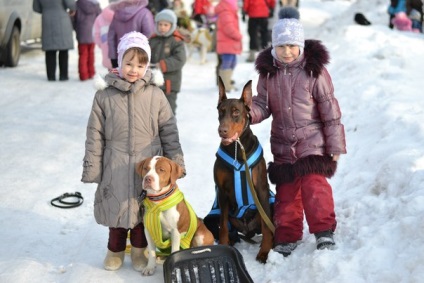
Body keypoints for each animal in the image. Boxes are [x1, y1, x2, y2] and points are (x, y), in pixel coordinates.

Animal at [204, 77, 274, 264]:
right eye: (221, 111)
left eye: (236, 112)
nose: (222, 130)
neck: (237, 147)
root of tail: (247, 230)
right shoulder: (221, 192)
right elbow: (223, 227)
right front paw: (223, 245)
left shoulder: (261, 190)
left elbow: (267, 227)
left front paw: (265, 252)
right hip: (211, 218)